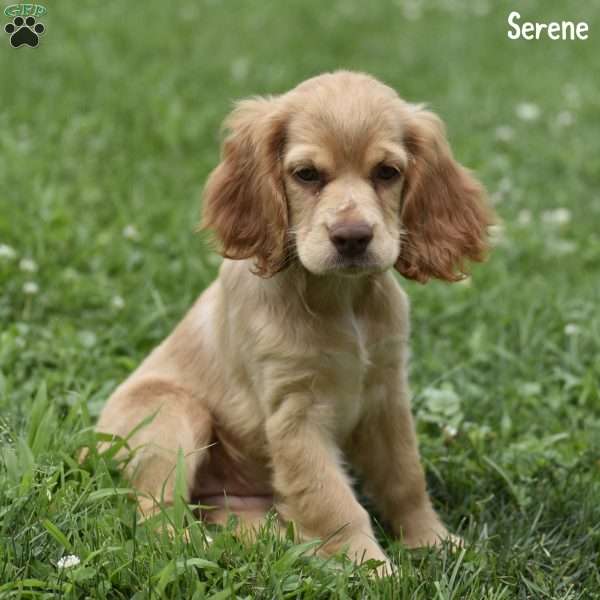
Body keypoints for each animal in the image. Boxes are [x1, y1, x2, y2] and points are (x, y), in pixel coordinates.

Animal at [97, 69, 492, 572]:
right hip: (171, 413)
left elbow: (405, 477)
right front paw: (373, 568)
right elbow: (333, 501)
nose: (352, 237)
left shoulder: (386, 397)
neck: (342, 300)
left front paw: (433, 540)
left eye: (387, 172)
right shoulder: (296, 412)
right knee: (154, 514)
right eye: (306, 175)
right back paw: (196, 547)